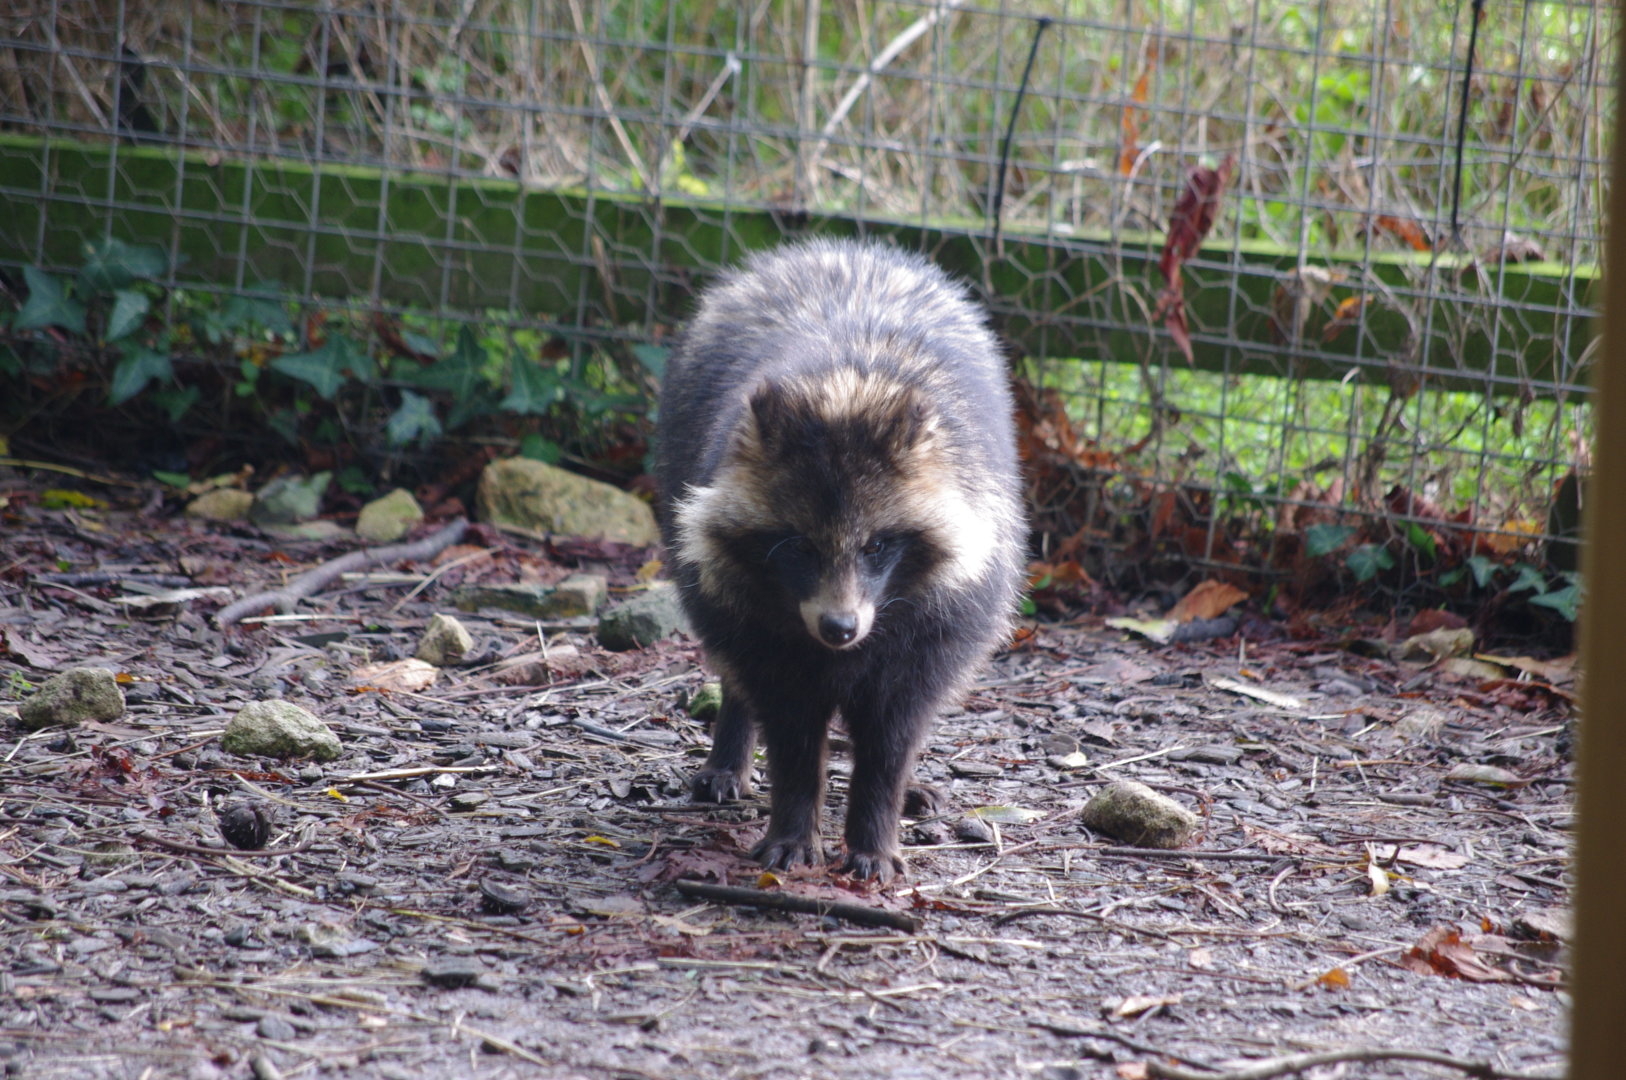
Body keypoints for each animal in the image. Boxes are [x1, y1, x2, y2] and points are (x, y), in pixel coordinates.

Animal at [656, 239, 1025, 881]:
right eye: (799, 546)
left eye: (876, 545)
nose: (839, 628)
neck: (848, 384)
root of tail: (841, 248)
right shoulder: (763, 622)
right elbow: (789, 724)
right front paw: (794, 819)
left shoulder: (940, 620)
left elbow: (894, 733)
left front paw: (875, 824)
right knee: (734, 663)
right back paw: (731, 747)